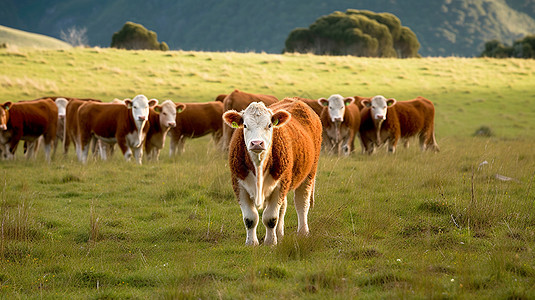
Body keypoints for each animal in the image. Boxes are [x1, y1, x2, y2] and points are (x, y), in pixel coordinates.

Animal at [223, 98, 322, 246]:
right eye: (245, 125)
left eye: (269, 125)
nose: (257, 143)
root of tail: (297, 100)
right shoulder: (239, 185)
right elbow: (250, 218)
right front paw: (251, 243)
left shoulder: (280, 185)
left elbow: (270, 218)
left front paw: (270, 242)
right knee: (283, 207)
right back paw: (279, 234)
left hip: (309, 173)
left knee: (302, 203)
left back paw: (303, 232)